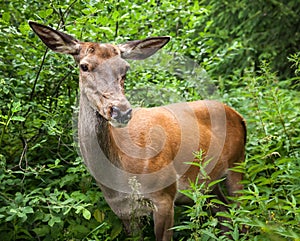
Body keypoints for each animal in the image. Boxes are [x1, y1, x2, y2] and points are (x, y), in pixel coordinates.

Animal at [29, 21, 247, 241]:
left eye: (125, 68)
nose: (121, 111)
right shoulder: (123, 210)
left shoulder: (165, 196)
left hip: (237, 164)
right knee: (224, 214)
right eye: (84, 66)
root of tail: (239, 116)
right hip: (209, 183)